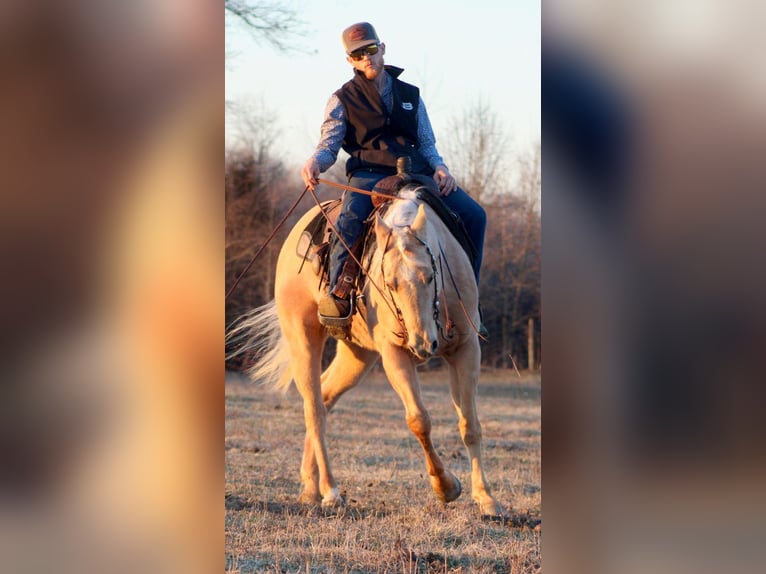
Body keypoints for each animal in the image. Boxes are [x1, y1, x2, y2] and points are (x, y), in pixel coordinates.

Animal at [231, 182, 508, 518]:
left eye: (430, 275)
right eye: (389, 283)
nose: (422, 343)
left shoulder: (466, 349)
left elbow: (470, 425)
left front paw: (486, 498)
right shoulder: (394, 354)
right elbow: (419, 420)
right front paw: (446, 487)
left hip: (357, 354)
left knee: (325, 395)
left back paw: (310, 487)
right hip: (303, 339)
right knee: (314, 409)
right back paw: (330, 491)